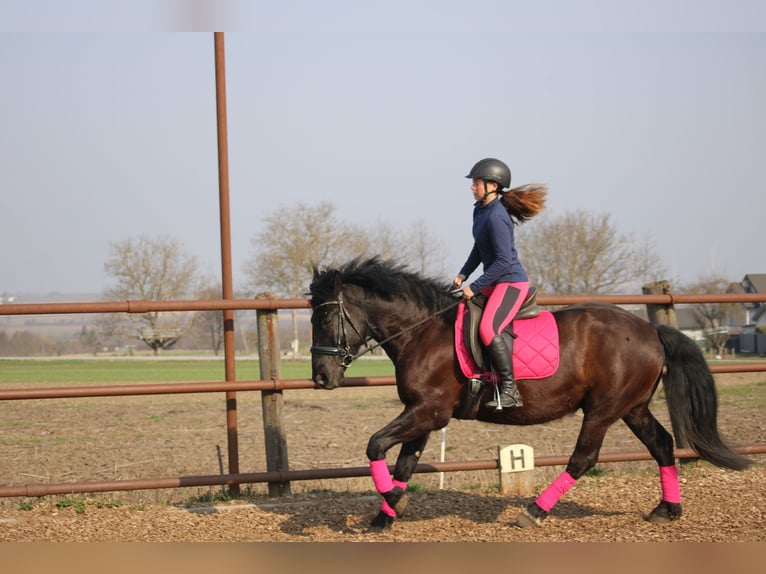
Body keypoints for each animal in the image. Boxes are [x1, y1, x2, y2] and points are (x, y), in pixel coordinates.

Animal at [308, 257, 752, 532]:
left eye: (325, 316)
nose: (320, 377)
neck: (424, 332)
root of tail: (650, 330)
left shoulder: (428, 411)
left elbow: (375, 445)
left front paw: (391, 505)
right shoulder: (423, 414)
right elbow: (403, 463)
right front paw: (385, 516)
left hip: (603, 409)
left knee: (583, 458)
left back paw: (534, 512)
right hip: (634, 407)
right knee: (661, 444)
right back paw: (667, 509)